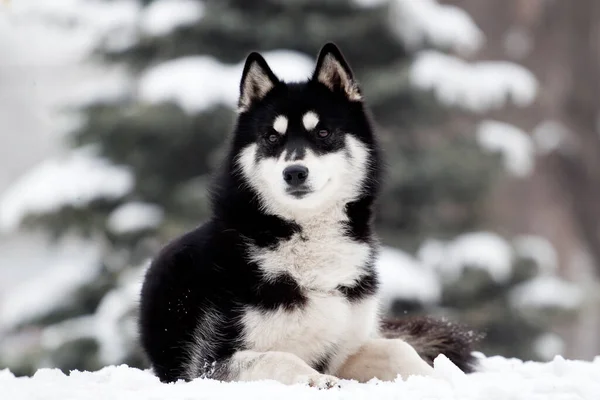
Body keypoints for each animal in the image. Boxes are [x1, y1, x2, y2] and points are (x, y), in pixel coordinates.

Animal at [138, 43, 480, 388]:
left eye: (323, 132)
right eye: (271, 137)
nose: (294, 173)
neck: (307, 238)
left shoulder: (344, 351)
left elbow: (397, 348)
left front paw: (444, 378)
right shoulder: (208, 364)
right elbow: (278, 358)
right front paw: (317, 381)